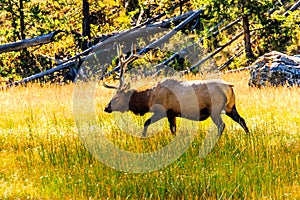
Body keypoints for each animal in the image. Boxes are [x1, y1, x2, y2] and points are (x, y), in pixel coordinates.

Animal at [102, 47, 248, 138]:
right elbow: (173, 130)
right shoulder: (172, 114)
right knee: (242, 120)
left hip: (215, 109)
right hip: (231, 107)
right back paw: (248, 136)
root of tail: (229, 87)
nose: (106, 107)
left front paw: (143, 138)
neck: (148, 100)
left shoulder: (163, 111)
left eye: (117, 97)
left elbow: (147, 123)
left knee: (222, 125)